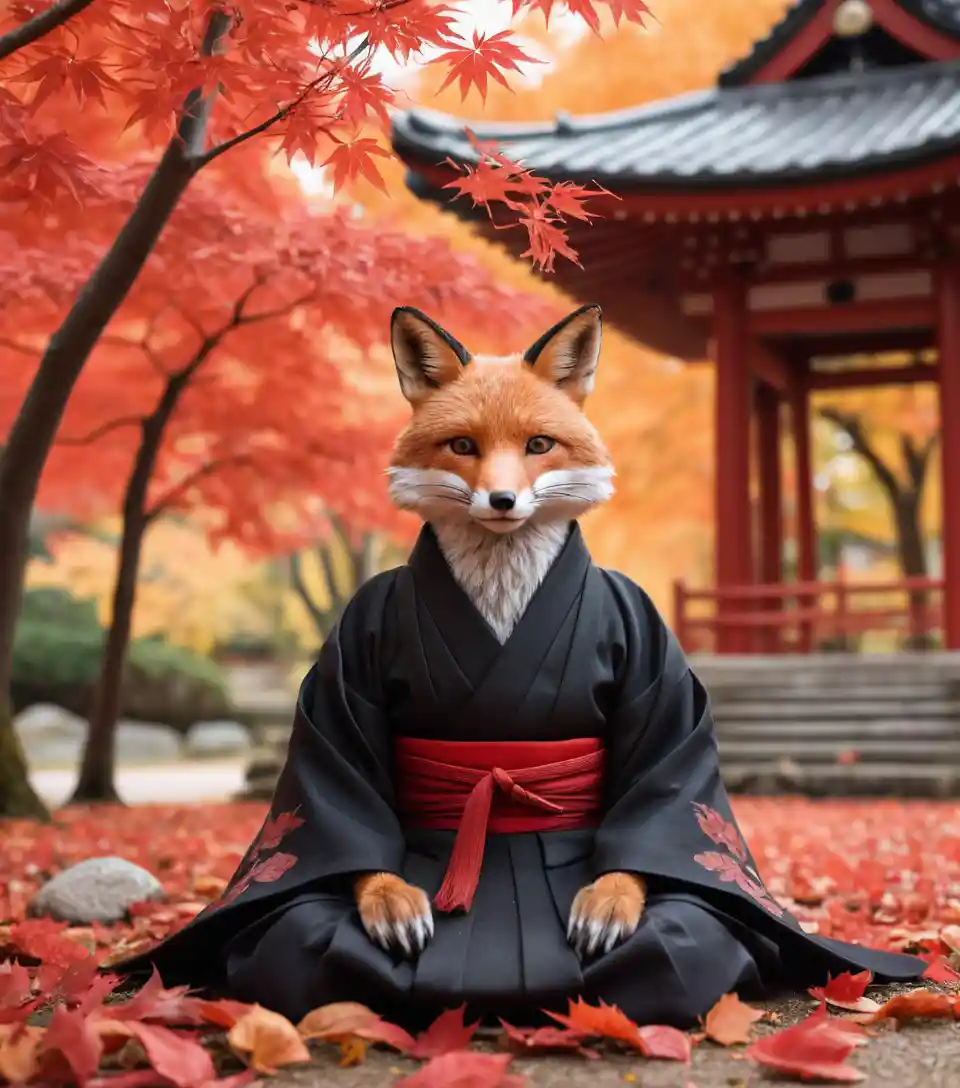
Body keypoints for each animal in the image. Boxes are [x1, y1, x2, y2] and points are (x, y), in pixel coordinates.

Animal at [354, 302, 646, 961]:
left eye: (538, 445)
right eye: (463, 445)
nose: (503, 499)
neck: (501, 598)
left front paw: (610, 898)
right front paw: (389, 898)